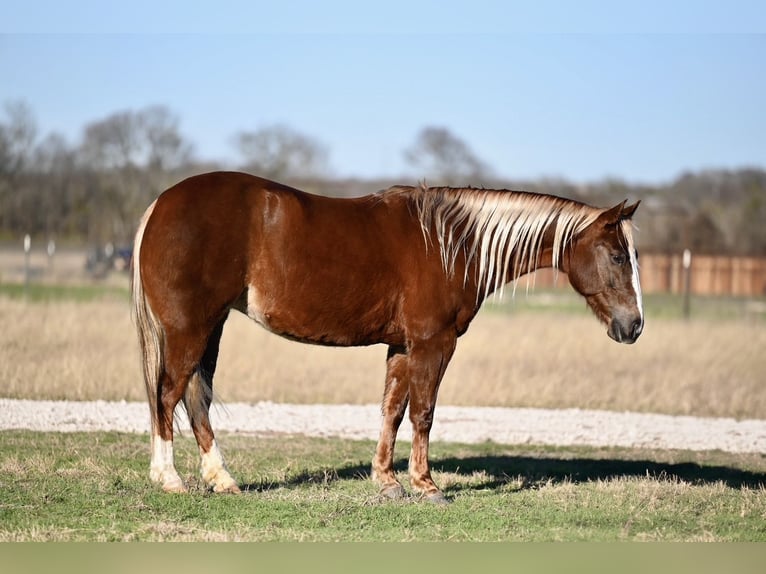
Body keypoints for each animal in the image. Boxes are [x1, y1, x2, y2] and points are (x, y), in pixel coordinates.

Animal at [130, 172, 640, 504]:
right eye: (617, 256)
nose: (634, 326)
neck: (450, 243)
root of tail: (160, 204)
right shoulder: (434, 343)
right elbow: (424, 413)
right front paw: (426, 486)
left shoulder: (402, 346)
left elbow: (392, 411)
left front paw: (387, 481)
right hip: (190, 328)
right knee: (167, 395)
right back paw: (169, 478)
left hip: (210, 327)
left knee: (195, 398)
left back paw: (222, 479)